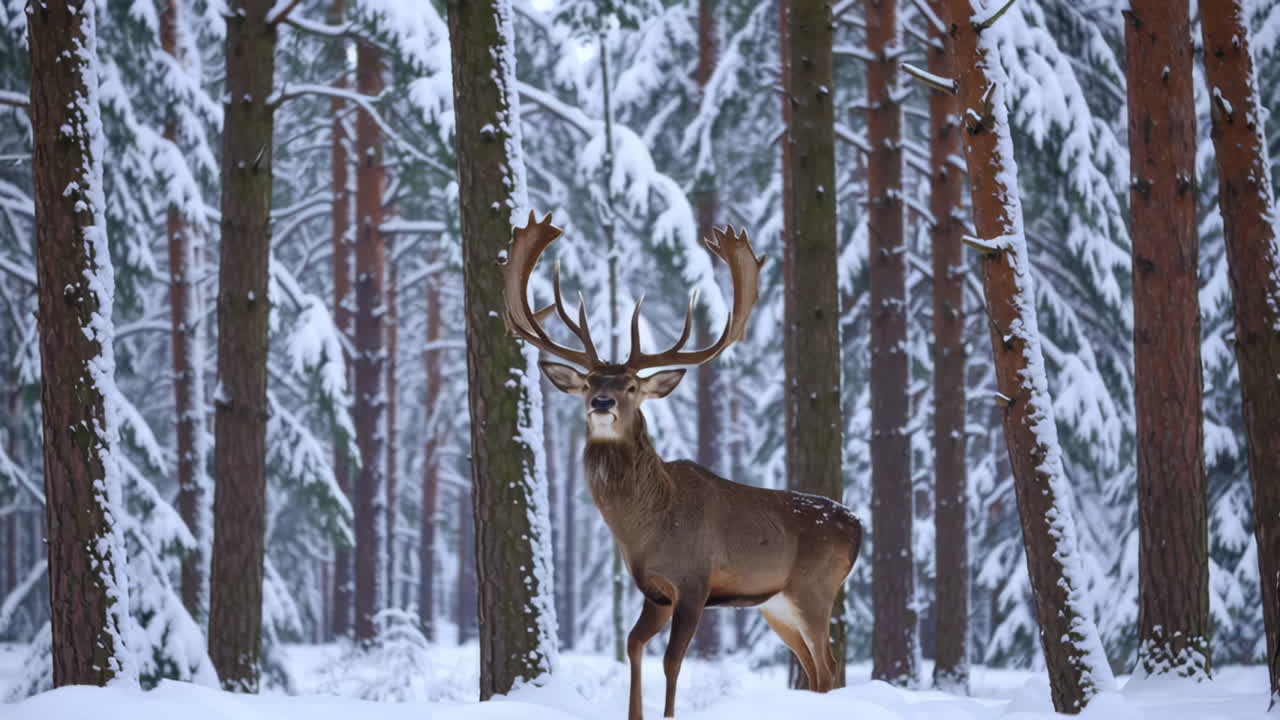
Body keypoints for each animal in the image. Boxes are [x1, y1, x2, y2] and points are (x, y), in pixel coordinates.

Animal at [500, 212, 863, 720]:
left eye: (632, 386)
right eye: (589, 381)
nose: (602, 402)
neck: (646, 527)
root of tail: (859, 527)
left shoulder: (693, 581)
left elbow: (673, 660)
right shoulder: (654, 592)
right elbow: (633, 645)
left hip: (815, 588)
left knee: (828, 667)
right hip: (776, 605)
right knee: (814, 669)